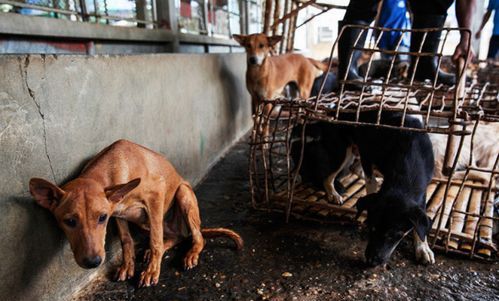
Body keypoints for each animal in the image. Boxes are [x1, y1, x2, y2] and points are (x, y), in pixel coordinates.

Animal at [29, 139, 244, 288]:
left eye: (102, 218)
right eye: (70, 221)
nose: (93, 262)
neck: (113, 164)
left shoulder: (156, 195)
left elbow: (155, 240)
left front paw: (151, 271)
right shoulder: (118, 214)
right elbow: (127, 241)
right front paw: (127, 266)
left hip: (183, 194)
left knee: (196, 237)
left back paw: (189, 253)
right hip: (146, 222)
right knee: (177, 236)